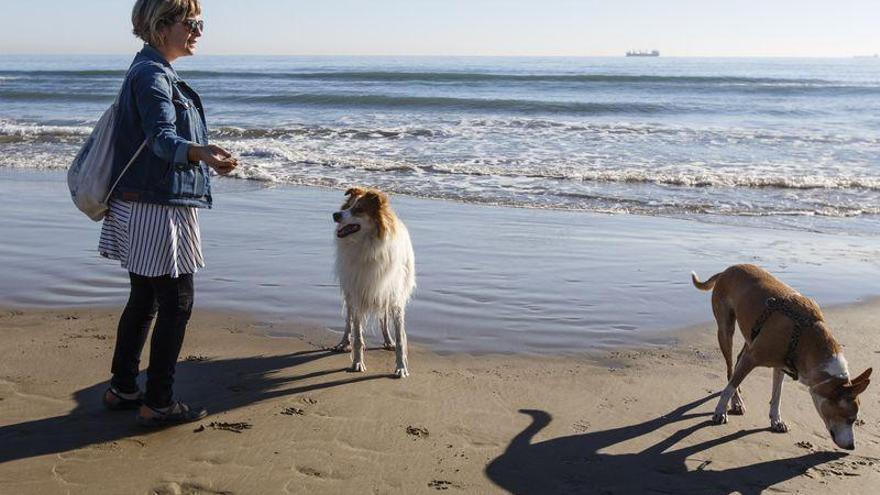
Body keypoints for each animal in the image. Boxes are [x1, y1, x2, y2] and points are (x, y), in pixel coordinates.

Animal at [332, 188, 414, 378]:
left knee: (384, 318)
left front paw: (401, 367)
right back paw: (344, 342)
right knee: (348, 321)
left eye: (359, 209)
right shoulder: (357, 294)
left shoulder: (394, 295)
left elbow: (400, 338)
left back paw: (388, 340)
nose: (335, 215)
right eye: (347, 206)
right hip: (350, 293)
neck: (369, 245)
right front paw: (357, 362)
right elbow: (357, 335)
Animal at [696, 266, 872, 452]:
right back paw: (735, 401)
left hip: (750, 334)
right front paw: (720, 411)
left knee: (737, 363)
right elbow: (729, 388)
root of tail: (727, 270)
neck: (805, 335)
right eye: (850, 419)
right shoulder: (752, 358)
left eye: (855, 421)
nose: (852, 446)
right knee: (731, 371)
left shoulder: (780, 365)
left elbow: (777, 395)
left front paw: (776, 421)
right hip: (726, 329)